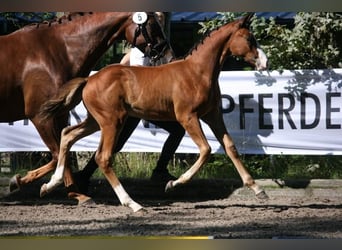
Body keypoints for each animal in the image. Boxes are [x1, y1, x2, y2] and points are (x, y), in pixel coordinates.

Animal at [0, 11, 171, 203]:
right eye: (153, 25)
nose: (168, 54)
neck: (56, 52)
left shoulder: (60, 115)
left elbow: (63, 150)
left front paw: (22, 181)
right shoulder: (40, 117)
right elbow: (58, 153)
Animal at [40, 13, 268, 212]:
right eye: (249, 38)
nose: (264, 63)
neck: (198, 72)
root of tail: (90, 79)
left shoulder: (212, 115)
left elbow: (230, 147)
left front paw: (258, 189)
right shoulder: (187, 117)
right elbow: (205, 149)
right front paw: (174, 184)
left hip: (96, 121)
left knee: (67, 134)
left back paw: (50, 185)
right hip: (112, 121)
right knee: (102, 157)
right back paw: (133, 204)